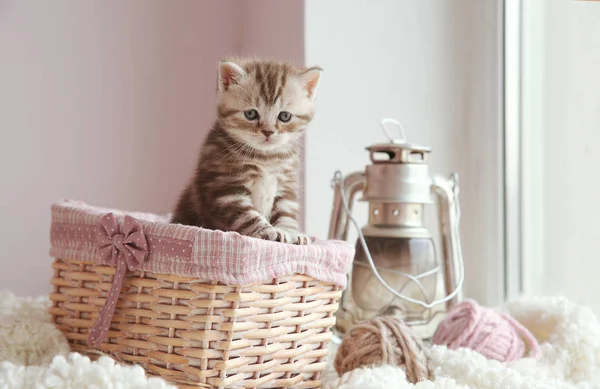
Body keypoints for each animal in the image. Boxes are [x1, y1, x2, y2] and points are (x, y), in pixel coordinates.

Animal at [172, 58, 324, 246]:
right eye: (251, 114)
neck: (266, 158)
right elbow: (247, 215)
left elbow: (287, 211)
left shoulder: (287, 184)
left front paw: (291, 232)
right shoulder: (226, 190)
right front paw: (268, 230)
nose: (268, 131)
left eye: (285, 116)